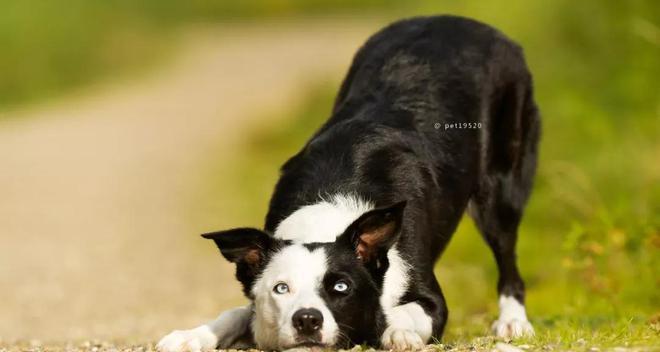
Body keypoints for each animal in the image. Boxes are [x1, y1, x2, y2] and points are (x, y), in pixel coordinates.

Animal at [157, 14, 540, 352]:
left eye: (341, 287)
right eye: (281, 289)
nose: (307, 319)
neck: (329, 214)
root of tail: (462, 21)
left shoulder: (430, 298)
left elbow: (401, 313)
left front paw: (398, 332)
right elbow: (239, 312)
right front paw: (192, 335)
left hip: (501, 188)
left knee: (508, 258)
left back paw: (513, 321)